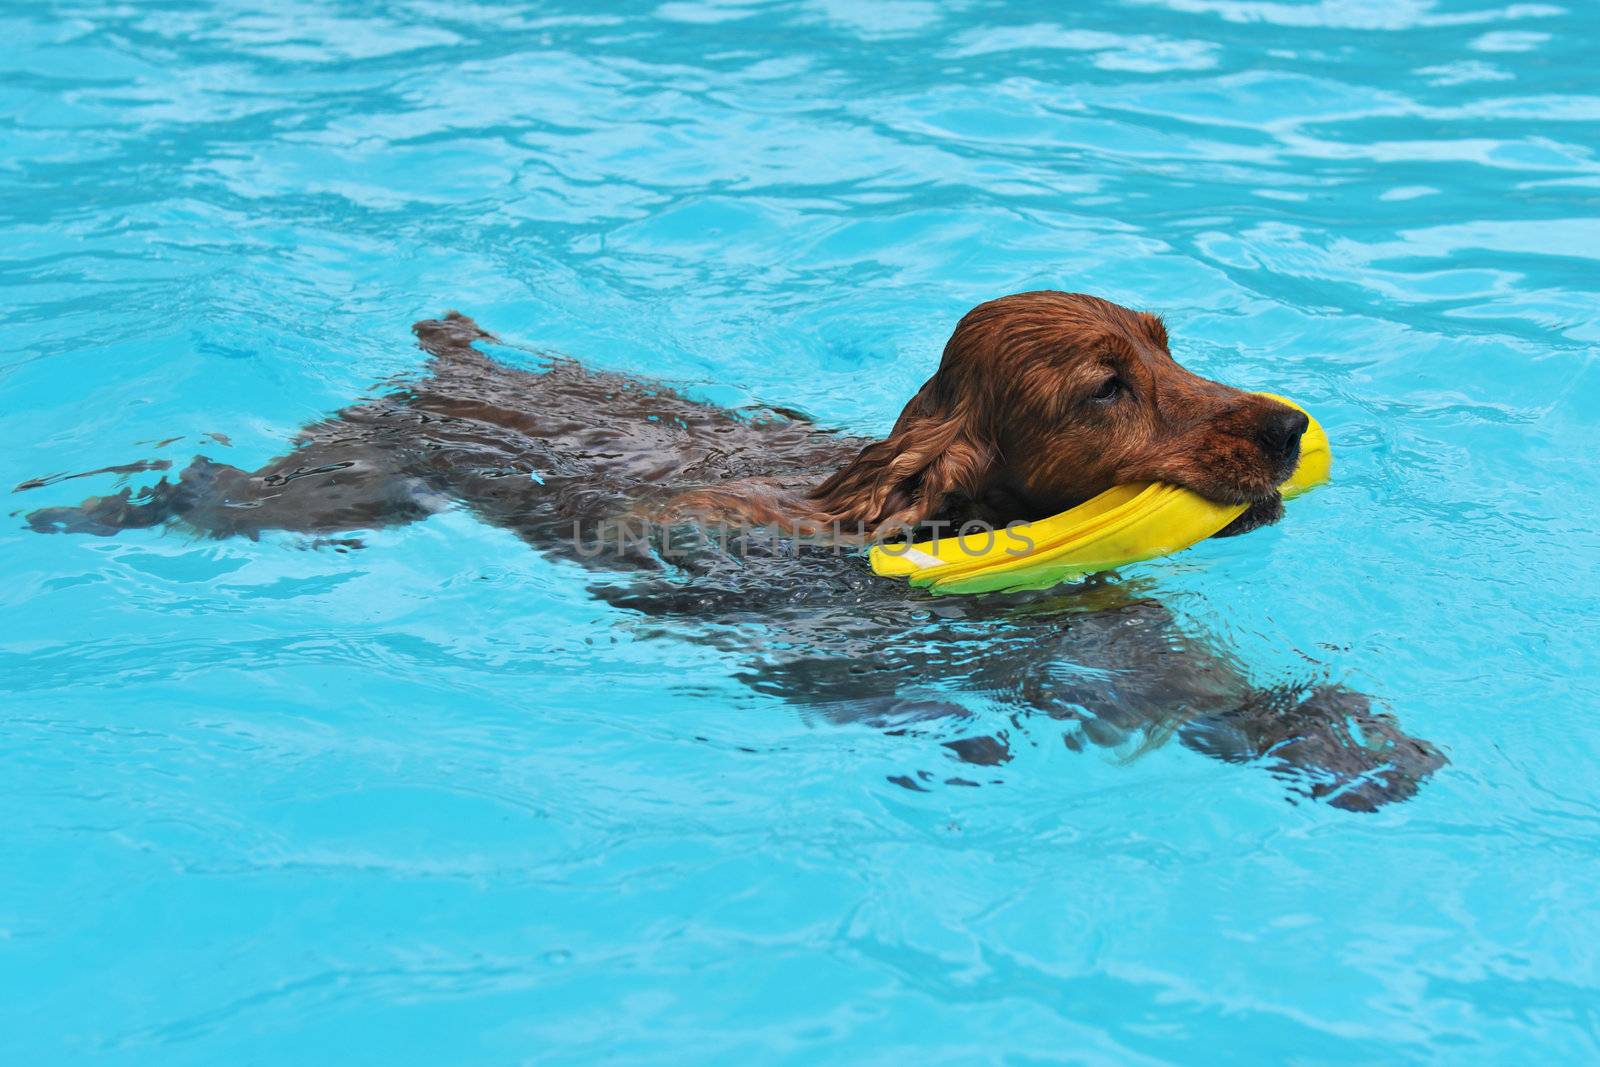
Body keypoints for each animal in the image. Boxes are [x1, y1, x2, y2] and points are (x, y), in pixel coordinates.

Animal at [18, 292, 1446, 809]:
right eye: (1105, 386)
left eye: (1165, 339)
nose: (1288, 428)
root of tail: (461, 360)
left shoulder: (1116, 638)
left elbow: (1231, 692)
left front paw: (1357, 742)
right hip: (334, 491)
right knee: (204, 489)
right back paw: (71, 511)